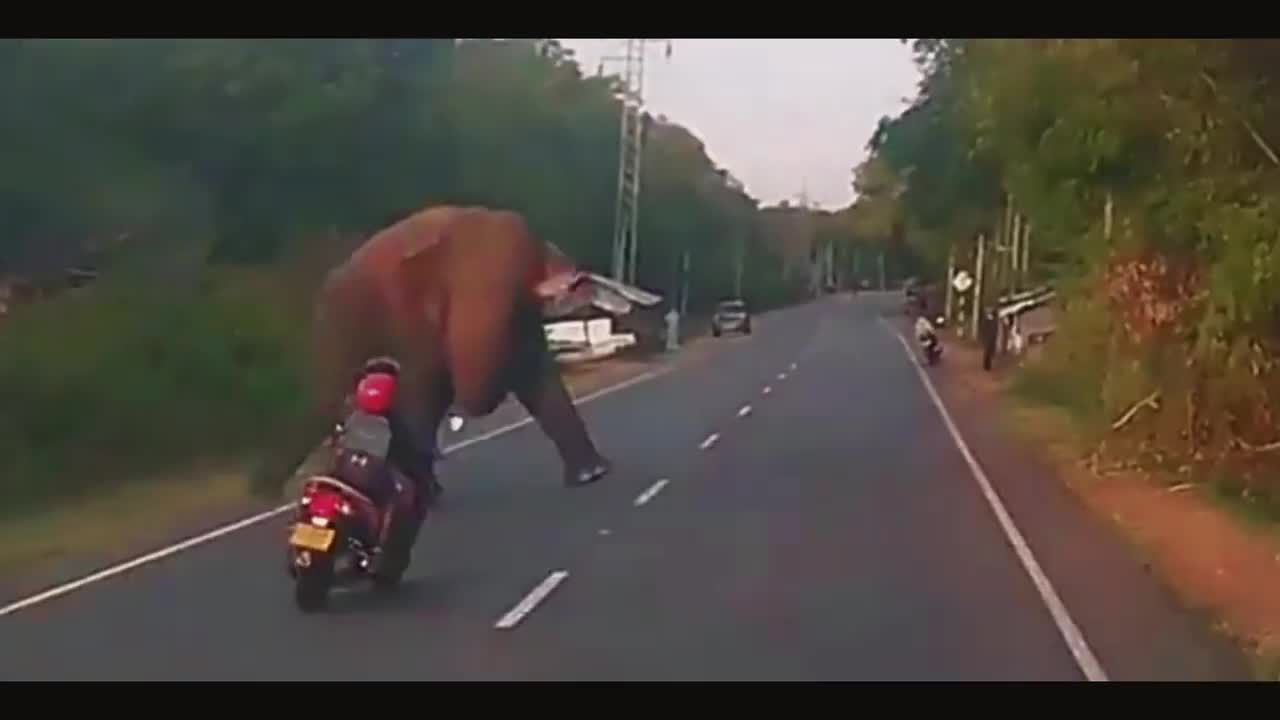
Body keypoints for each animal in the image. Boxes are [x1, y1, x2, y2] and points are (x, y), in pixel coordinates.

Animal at [254, 203, 665, 548]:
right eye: (447, 289)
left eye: (522, 278)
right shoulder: (409, 315)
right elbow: (422, 389)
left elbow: (535, 376)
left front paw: (592, 475)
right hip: (335, 326)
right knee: (330, 403)